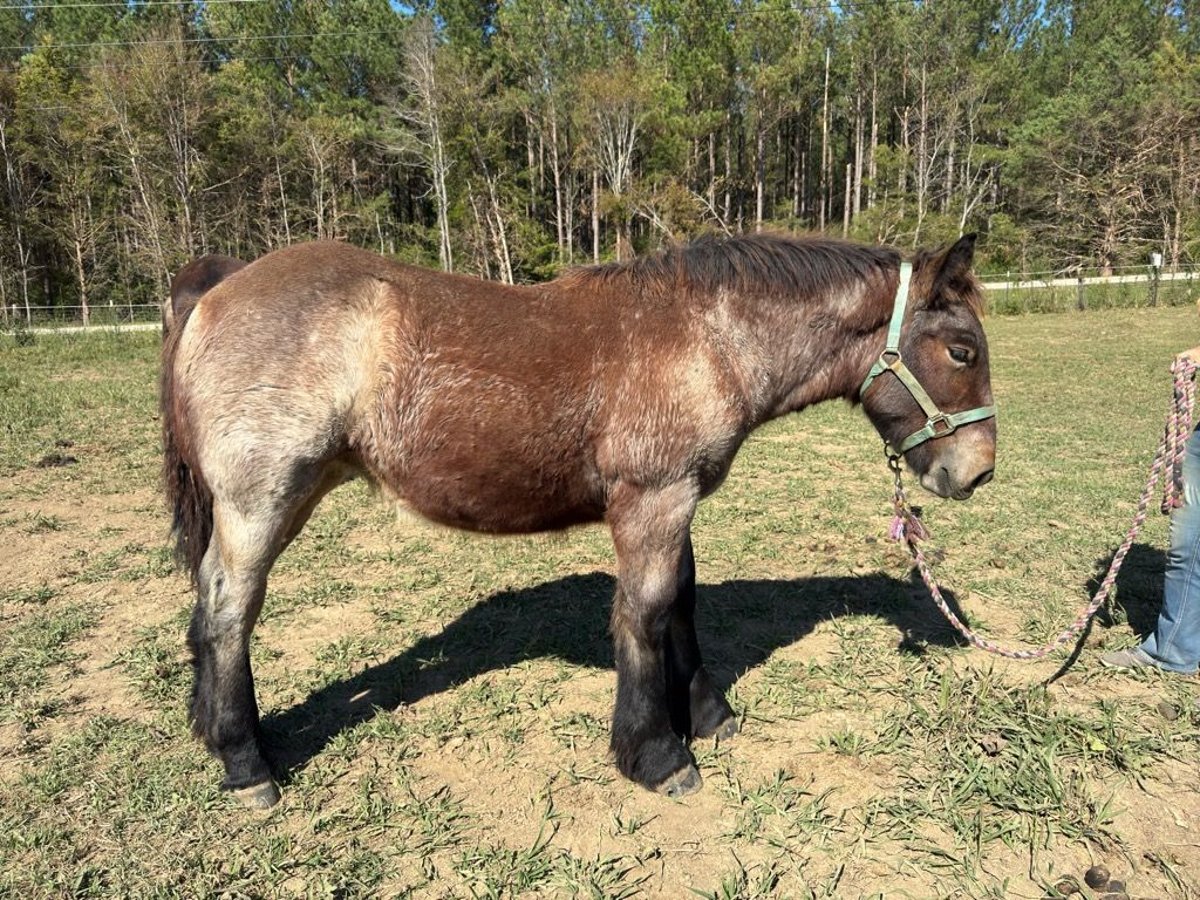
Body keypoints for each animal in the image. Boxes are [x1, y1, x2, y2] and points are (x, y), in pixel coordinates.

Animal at [162, 232, 1003, 811]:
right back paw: (246, 765)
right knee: (230, 611)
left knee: (207, 604)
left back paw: (215, 732)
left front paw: (708, 715)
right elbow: (646, 613)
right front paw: (658, 755)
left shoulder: (673, 500)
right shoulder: (655, 497)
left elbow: (681, 603)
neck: (704, 338)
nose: (977, 471)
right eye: (962, 349)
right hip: (264, 499)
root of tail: (218, 283)